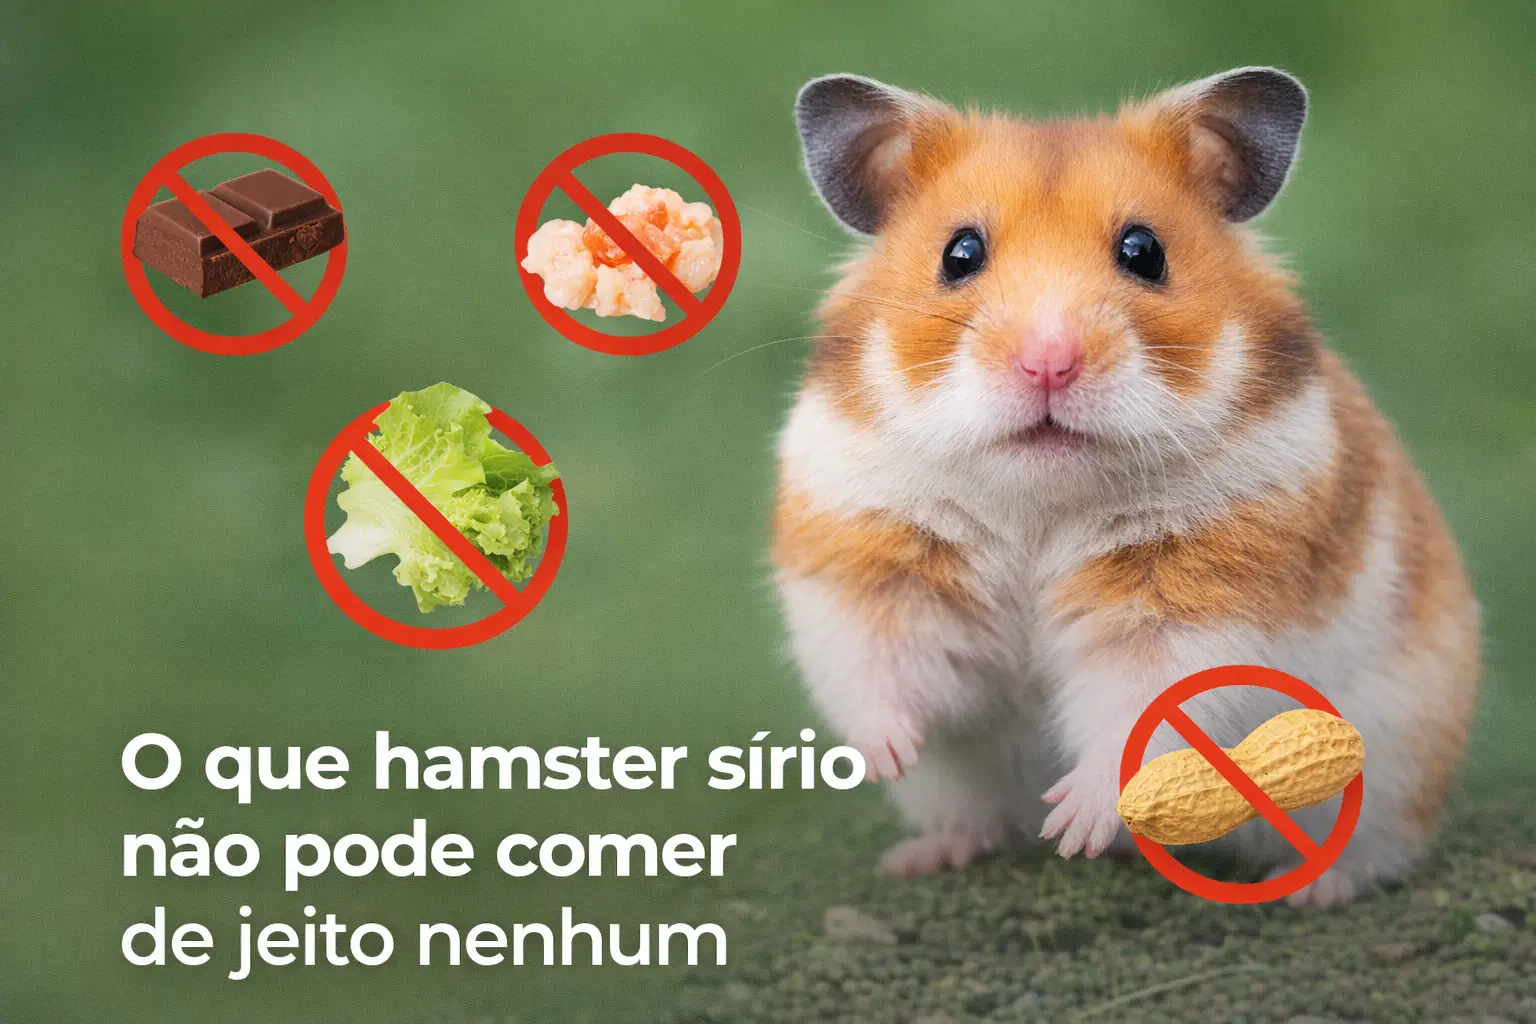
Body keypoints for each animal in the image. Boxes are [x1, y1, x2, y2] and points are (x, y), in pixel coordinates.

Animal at [771, 68, 1480, 907]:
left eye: (1144, 251)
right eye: (960, 252)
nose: (1048, 362)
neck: (1038, 501)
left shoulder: (1193, 604)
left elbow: (1137, 712)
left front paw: (1073, 826)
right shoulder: (867, 565)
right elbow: (878, 670)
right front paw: (887, 756)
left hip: (1398, 758)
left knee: (1377, 847)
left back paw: (1309, 888)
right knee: (973, 818)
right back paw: (928, 855)